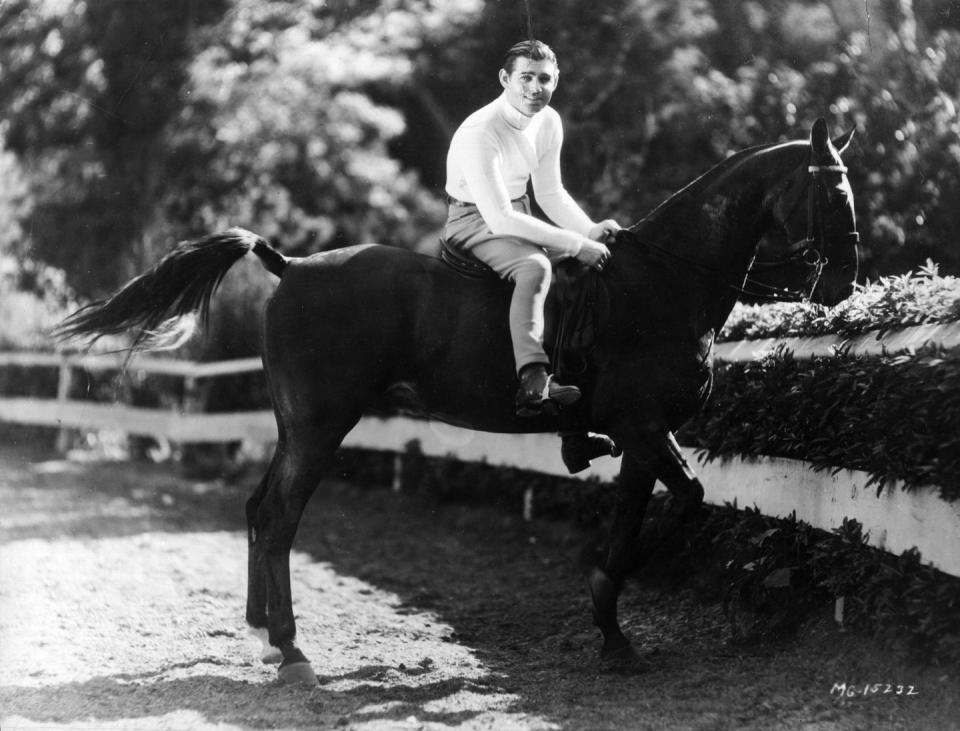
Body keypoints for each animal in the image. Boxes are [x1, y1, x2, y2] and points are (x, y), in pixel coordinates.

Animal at [56, 118, 860, 680]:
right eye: (833, 190)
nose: (847, 281)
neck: (662, 283)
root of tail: (291, 265)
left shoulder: (642, 436)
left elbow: (653, 512)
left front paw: (611, 630)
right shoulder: (643, 426)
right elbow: (682, 503)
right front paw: (607, 609)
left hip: (295, 427)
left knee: (259, 510)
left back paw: (262, 631)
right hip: (319, 427)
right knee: (281, 517)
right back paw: (290, 649)